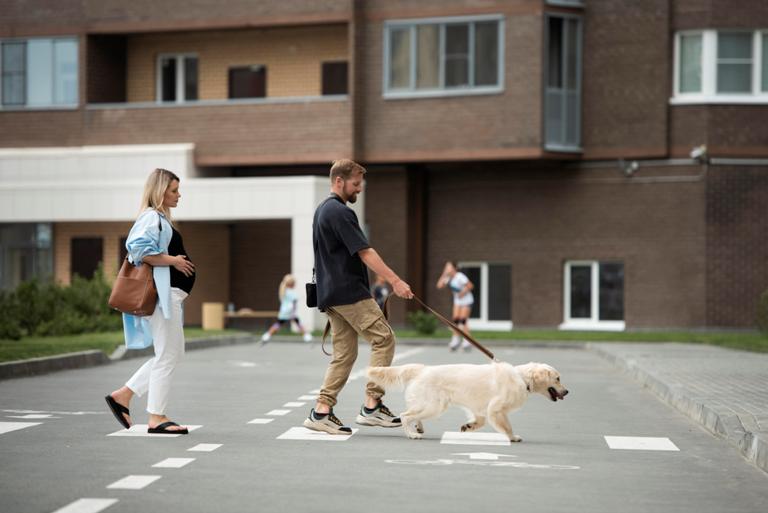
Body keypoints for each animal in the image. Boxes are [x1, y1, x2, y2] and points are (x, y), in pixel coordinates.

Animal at [366, 360, 568, 440]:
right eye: (558, 378)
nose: (567, 392)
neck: (522, 378)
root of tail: (422, 368)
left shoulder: (481, 409)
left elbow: (480, 421)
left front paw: (468, 426)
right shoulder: (496, 409)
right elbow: (507, 427)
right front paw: (513, 437)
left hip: (431, 405)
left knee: (412, 414)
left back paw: (419, 427)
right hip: (434, 406)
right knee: (405, 415)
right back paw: (412, 434)